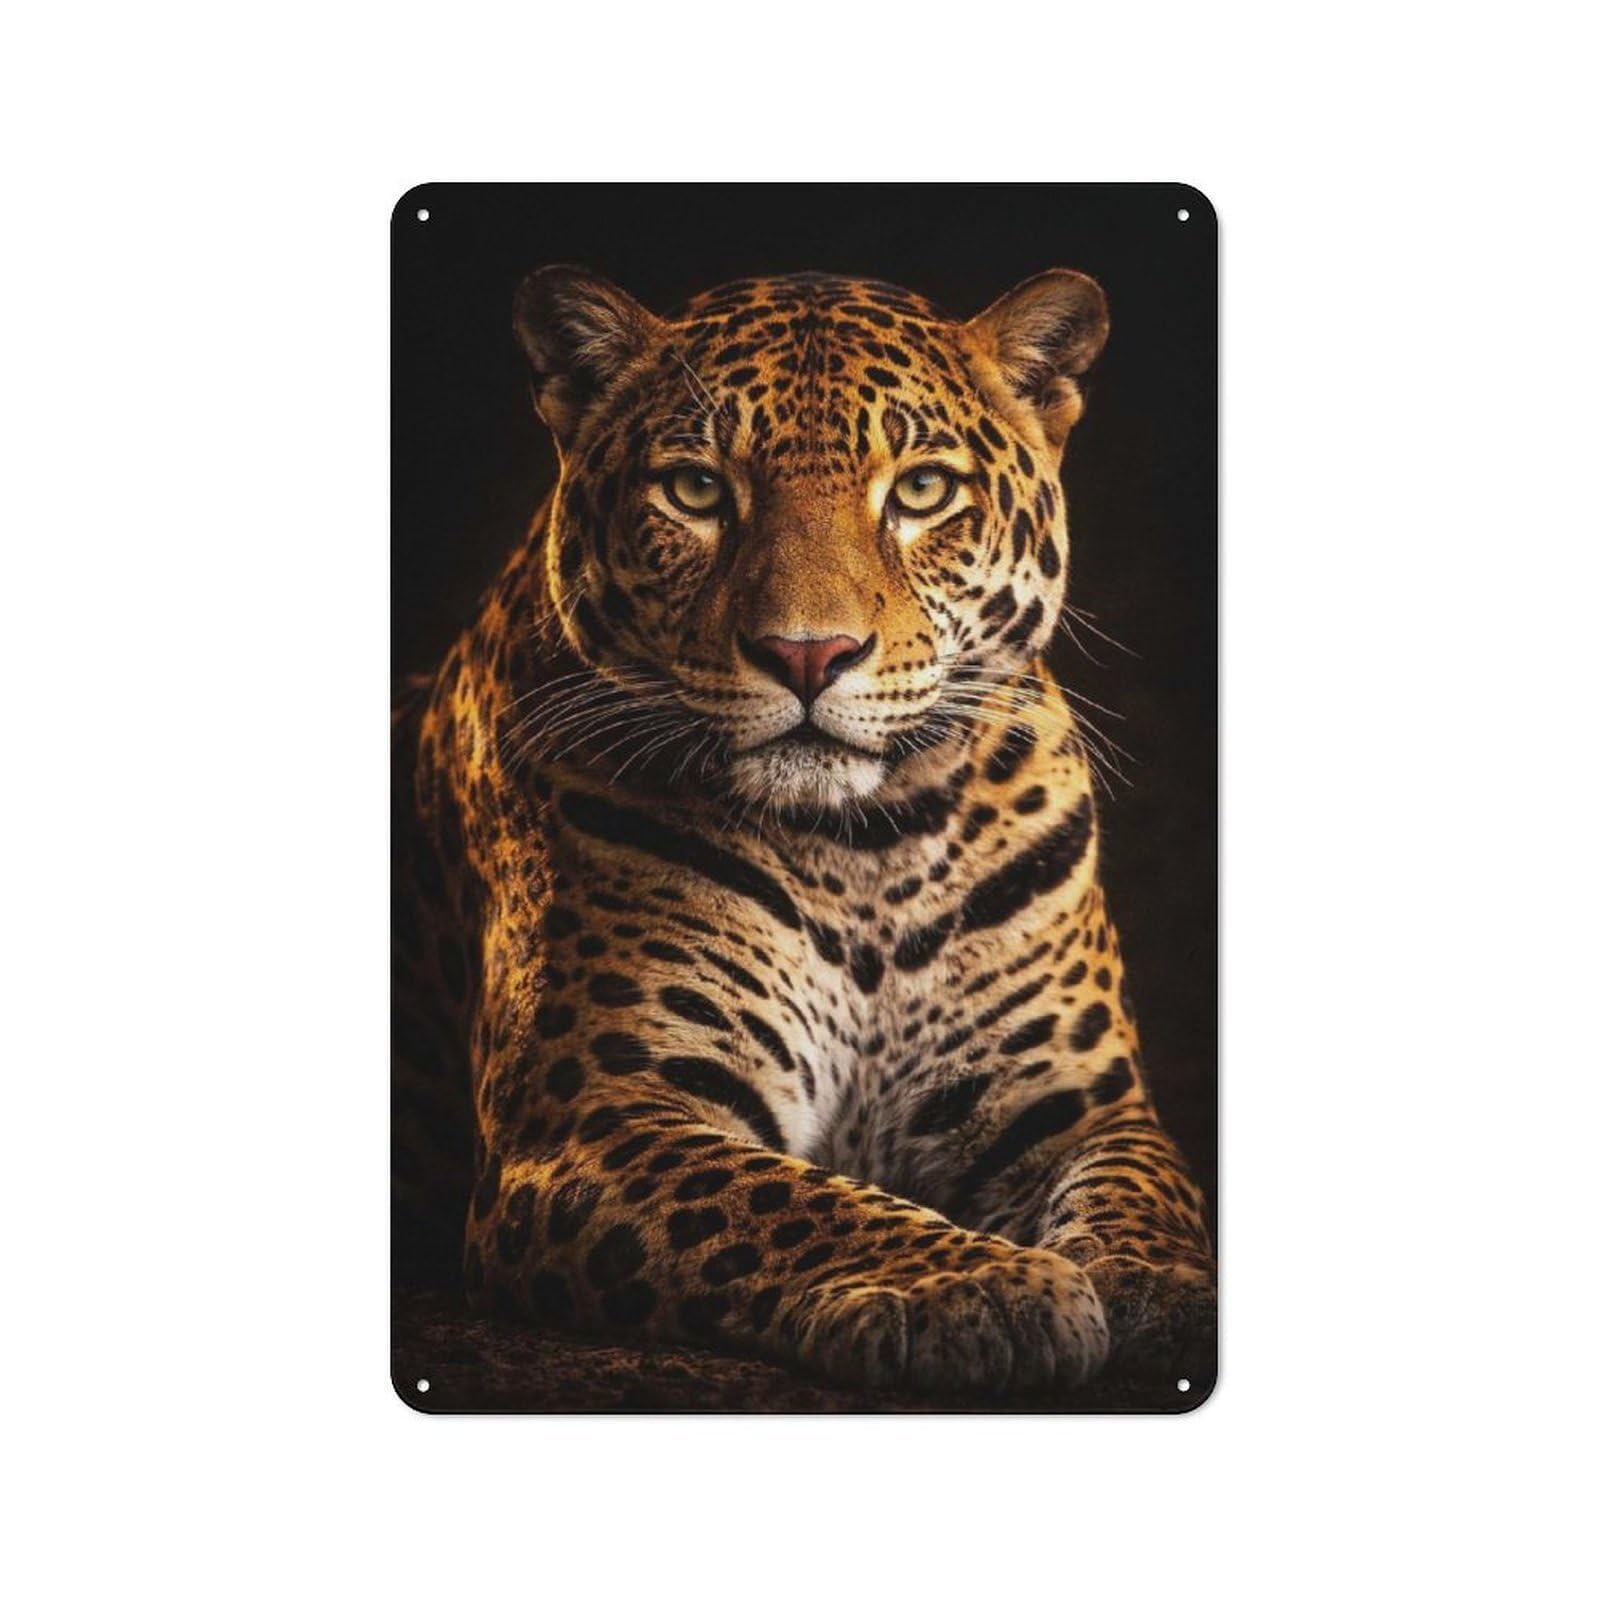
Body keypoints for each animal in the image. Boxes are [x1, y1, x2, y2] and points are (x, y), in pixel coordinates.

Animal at [391, 264, 1216, 1396]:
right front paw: (979, 1283)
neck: (866, 849)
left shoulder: (1078, 1100)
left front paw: (1160, 1289)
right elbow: (790, 1204)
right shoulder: (594, 1116)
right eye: (696, 490)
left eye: (922, 490)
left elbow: (1146, 1188)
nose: (808, 654)